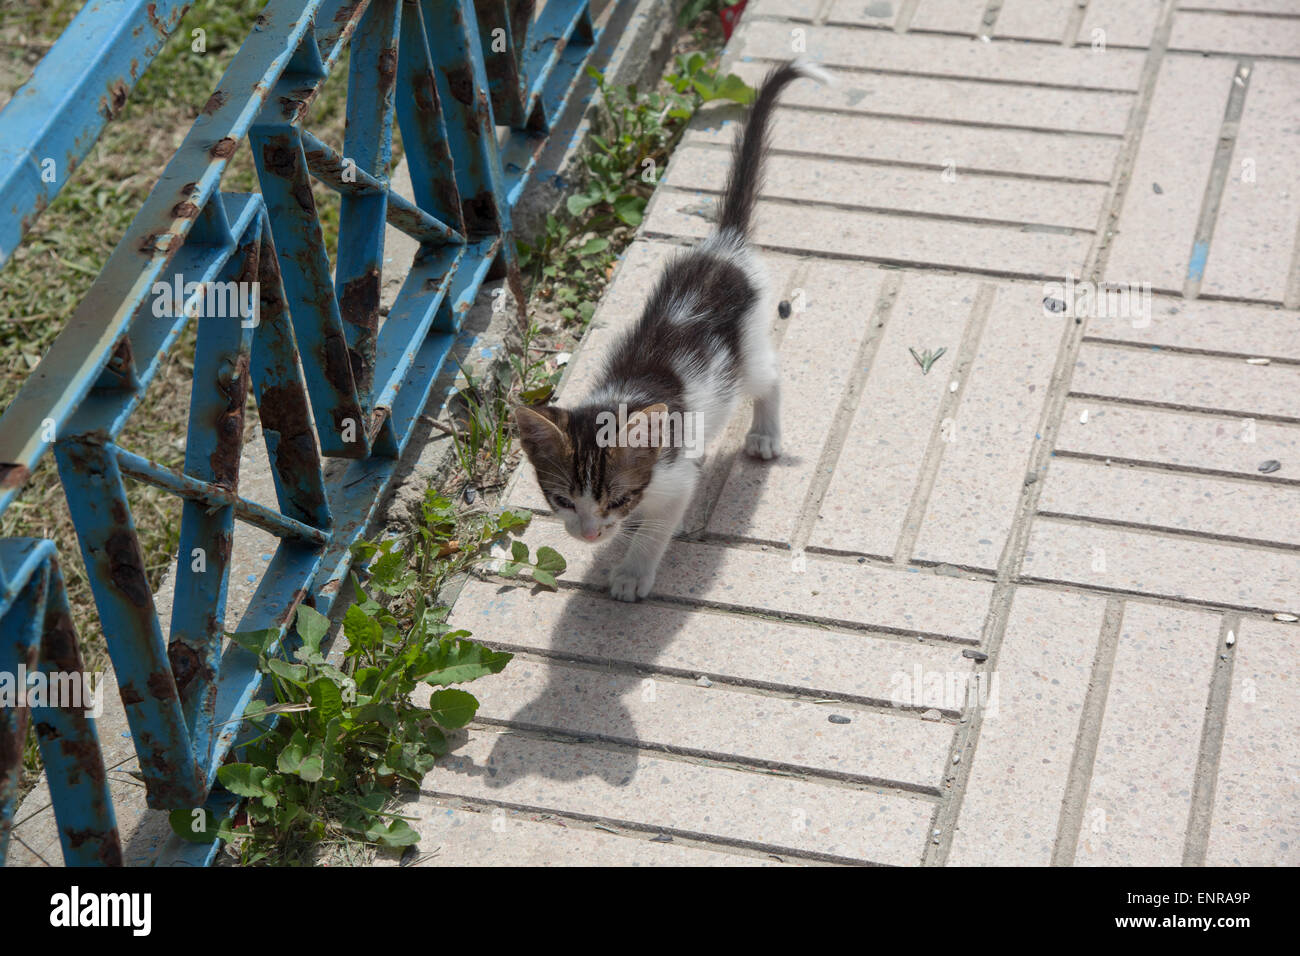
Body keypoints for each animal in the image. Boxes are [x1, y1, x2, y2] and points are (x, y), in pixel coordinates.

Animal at [512, 59, 826, 600]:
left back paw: (765, 435)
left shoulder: (676, 479)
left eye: (616, 498)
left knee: (770, 375)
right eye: (562, 501)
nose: (589, 534)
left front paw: (632, 573)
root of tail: (724, 247)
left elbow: (657, 528)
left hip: (747, 351)